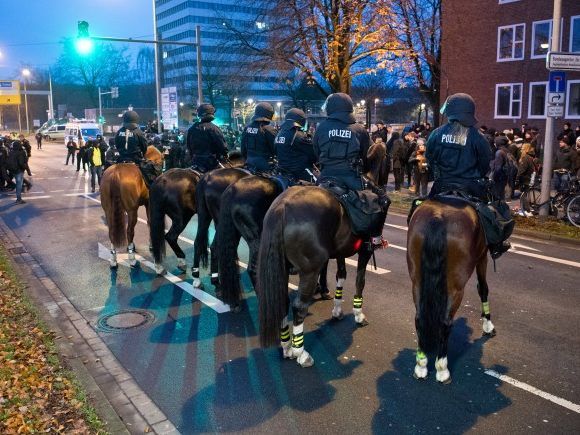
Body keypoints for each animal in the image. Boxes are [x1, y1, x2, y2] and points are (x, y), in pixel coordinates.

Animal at [256, 143, 388, 368]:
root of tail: (282, 206)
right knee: (299, 307)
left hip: (282, 269)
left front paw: (336, 310)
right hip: (309, 271)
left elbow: (341, 276)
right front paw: (358, 314)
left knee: (282, 303)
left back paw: (286, 347)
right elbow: (360, 281)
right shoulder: (364, 251)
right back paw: (300, 352)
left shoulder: (342, 253)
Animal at [406, 198, 496, 384]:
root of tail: (437, 216)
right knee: (445, 322)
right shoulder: (482, 256)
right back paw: (442, 369)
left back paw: (421, 365)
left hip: (417, 281)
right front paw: (488, 325)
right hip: (455, 287)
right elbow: (483, 288)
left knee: (419, 319)